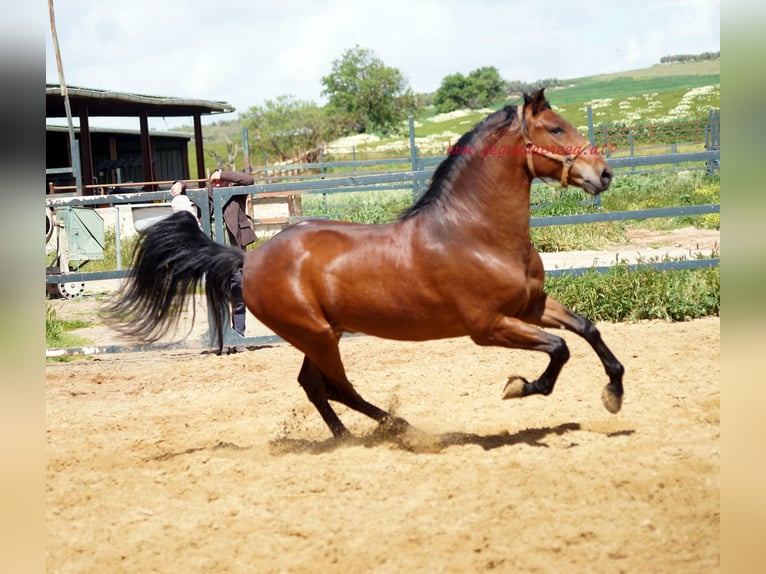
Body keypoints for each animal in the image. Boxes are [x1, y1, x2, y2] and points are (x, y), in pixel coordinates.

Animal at [105, 88, 624, 439]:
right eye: (555, 129)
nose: (604, 174)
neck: (475, 233)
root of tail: (247, 259)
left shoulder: (530, 306)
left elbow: (587, 329)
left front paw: (614, 394)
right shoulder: (489, 326)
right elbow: (560, 348)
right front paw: (519, 387)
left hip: (322, 335)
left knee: (315, 386)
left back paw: (350, 436)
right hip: (315, 334)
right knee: (337, 387)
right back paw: (400, 429)